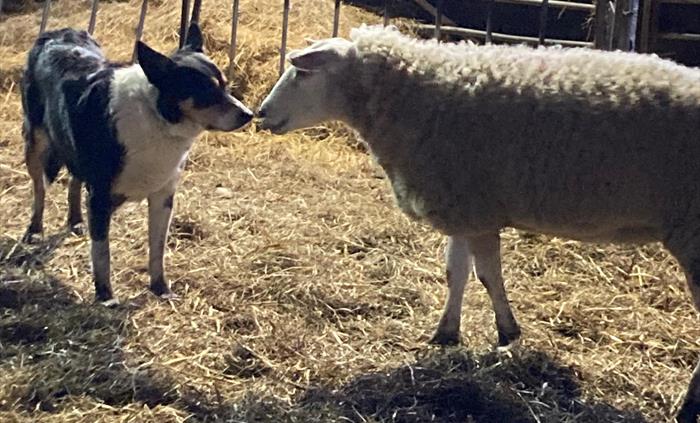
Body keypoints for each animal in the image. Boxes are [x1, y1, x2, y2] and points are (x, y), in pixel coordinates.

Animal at [257, 25, 700, 421]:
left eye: (303, 73)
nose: (261, 114)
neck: (415, 98)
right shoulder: (463, 208)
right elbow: (456, 272)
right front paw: (446, 334)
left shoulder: (479, 208)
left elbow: (487, 275)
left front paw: (507, 333)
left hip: (692, 232)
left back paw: (688, 406)